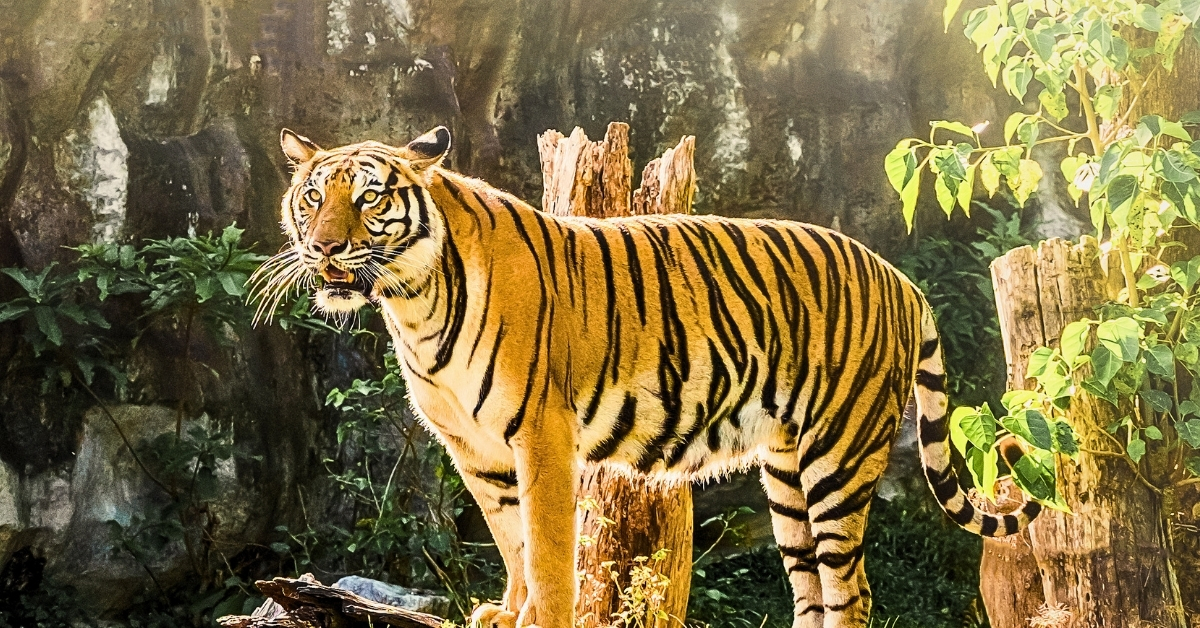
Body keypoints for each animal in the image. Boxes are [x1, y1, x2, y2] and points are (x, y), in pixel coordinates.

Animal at [255, 126, 1043, 628]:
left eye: (369, 199)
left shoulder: (540, 435)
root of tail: (898, 276)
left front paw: (540, 618)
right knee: (814, 591)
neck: (412, 301)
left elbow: (547, 548)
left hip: (839, 456)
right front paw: (506, 612)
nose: (323, 247)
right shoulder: (474, 448)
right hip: (786, 471)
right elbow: (510, 540)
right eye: (312, 197)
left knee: (851, 592)